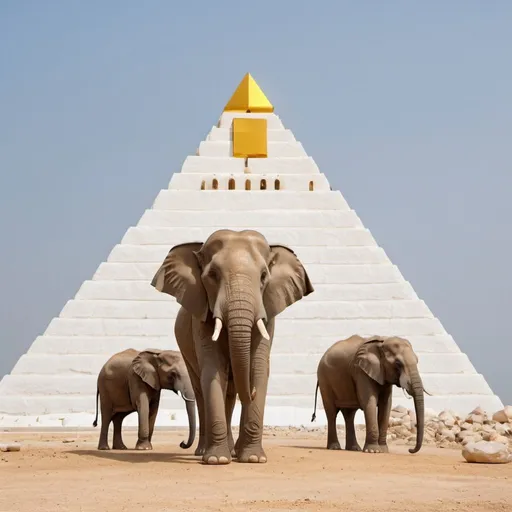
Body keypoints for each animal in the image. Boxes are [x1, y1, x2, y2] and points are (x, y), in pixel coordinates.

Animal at [150, 228, 314, 464]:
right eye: (212, 275)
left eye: (263, 276)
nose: (252, 392)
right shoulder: (201, 317)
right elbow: (213, 369)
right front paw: (217, 460)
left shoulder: (268, 311)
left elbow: (258, 368)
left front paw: (253, 459)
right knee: (201, 391)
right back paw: (204, 452)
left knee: (230, 393)